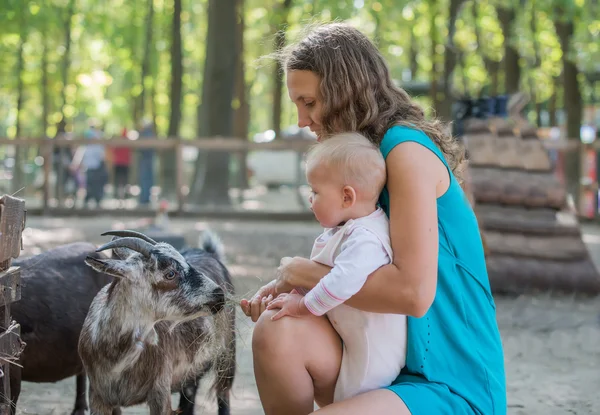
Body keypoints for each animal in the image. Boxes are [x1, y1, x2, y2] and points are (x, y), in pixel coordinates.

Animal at [79, 231, 237, 415]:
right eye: (170, 273)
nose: (219, 294)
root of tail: (211, 254)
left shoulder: (160, 392)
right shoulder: (98, 396)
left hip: (227, 353)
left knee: (223, 394)